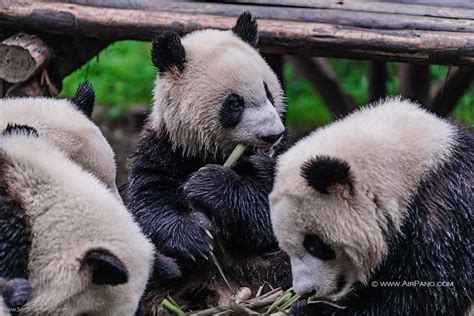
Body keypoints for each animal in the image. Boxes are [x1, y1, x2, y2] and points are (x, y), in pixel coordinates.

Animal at [129, 11, 292, 312]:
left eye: (268, 93)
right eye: (234, 103)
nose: (272, 134)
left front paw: (209, 184)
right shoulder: (163, 150)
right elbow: (149, 205)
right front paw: (195, 235)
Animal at [268, 97, 472, 314]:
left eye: (314, 244)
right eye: (286, 248)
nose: (306, 291)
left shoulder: (445, 218)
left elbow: (420, 294)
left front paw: (308, 309)